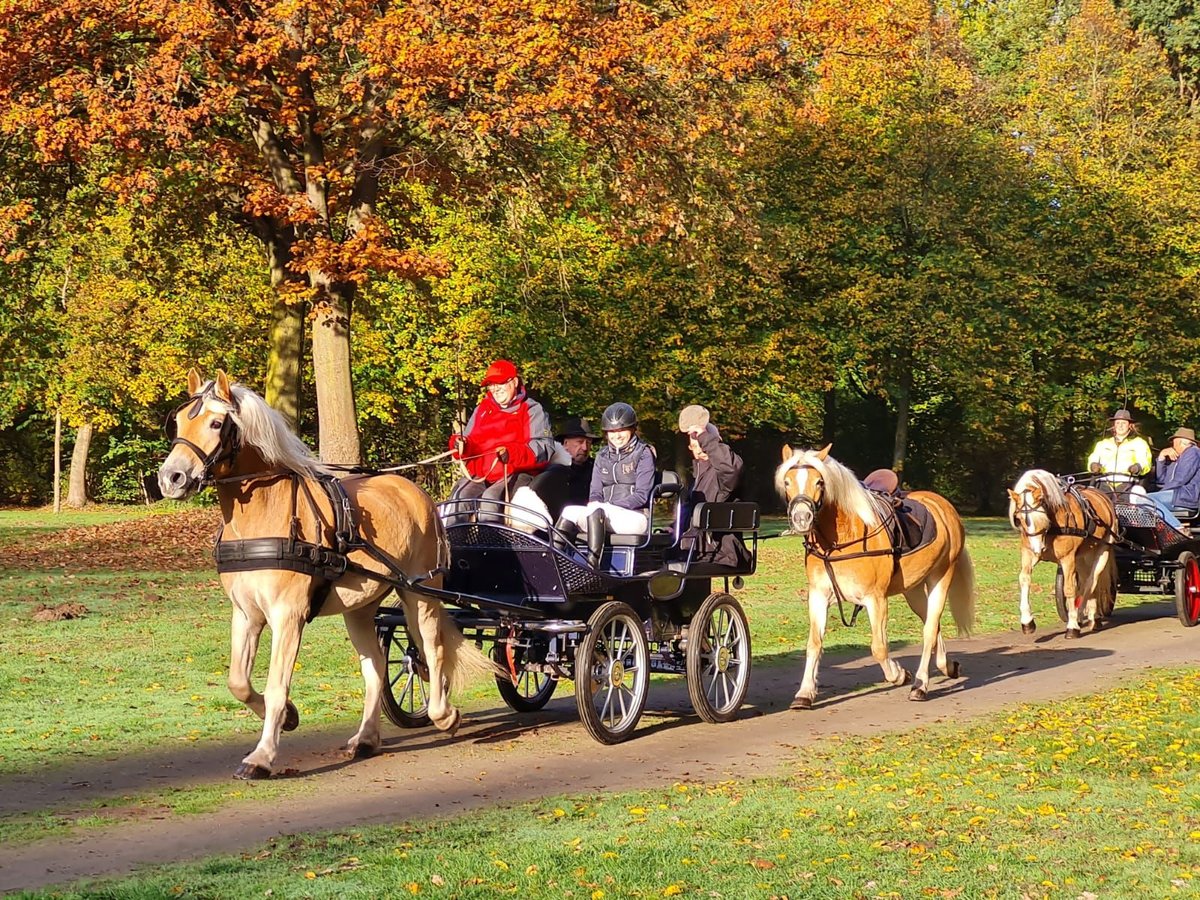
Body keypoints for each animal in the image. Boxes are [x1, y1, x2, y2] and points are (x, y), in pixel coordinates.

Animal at [157, 374, 494, 782]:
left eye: (216, 423)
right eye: (178, 423)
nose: (171, 478)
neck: (264, 517)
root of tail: (414, 491)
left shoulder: (288, 617)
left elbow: (276, 685)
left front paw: (262, 756)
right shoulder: (246, 615)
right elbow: (238, 682)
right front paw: (289, 717)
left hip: (421, 593)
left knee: (433, 648)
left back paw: (444, 715)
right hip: (361, 608)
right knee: (376, 668)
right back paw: (366, 738)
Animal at [777, 448, 974, 710]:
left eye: (819, 481)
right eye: (787, 482)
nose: (802, 518)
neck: (841, 540)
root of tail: (942, 506)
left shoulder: (876, 599)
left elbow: (879, 648)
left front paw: (899, 674)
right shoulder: (818, 596)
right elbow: (814, 644)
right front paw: (805, 693)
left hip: (940, 577)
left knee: (930, 630)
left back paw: (920, 685)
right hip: (912, 590)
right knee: (932, 626)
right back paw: (947, 666)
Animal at [1008, 468, 1118, 638]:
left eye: (1041, 517)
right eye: (1019, 519)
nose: (1038, 549)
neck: (1052, 528)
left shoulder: (1067, 558)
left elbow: (1069, 588)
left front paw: (1072, 625)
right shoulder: (1028, 553)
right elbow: (1024, 579)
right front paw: (1027, 622)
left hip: (1103, 550)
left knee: (1091, 582)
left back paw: (1081, 615)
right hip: (1082, 557)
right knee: (1087, 581)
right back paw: (1093, 617)